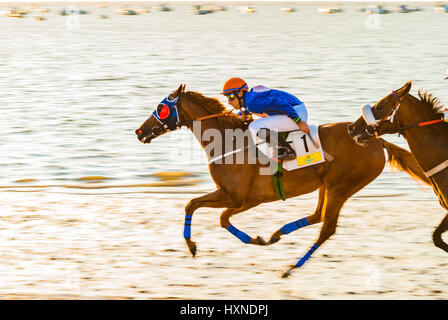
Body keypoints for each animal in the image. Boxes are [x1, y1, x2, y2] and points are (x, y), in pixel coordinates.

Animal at [135, 85, 428, 278]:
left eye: (161, 106)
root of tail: (375, 139)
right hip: (327, 185)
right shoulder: (246, 199)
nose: (139, 131)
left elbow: (194, 206)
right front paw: (259, 239)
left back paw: (291, 267)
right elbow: (220, 218)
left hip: (341, 186)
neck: (228, 141)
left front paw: (192, 246)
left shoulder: (236, 196)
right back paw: (279, 233)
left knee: (327, 227)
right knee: (318, 216)